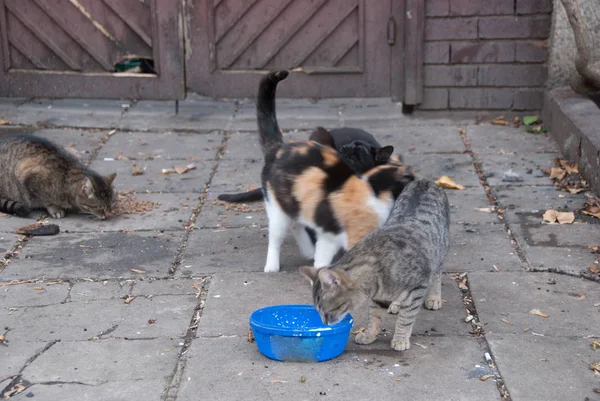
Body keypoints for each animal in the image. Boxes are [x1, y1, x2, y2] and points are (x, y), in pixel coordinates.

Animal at [253, 71, 412, 272]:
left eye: (358, 151)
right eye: (347, 146)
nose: (343, 147)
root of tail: (278, 148)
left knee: (297, 223)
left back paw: (308, 250)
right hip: (277, 208)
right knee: (277, 235)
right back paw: (272, 265)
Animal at [300, 179, 450, 350]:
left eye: (328, 310)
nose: (324, 323)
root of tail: (424, 181)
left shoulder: (417, 288)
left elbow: (406, 319)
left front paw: (400, 339)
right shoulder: (377, 297)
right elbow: (374, 317)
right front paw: (370, 334)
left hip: (439, 251)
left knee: (437, 274)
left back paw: (434, 297)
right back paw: (396, 303)